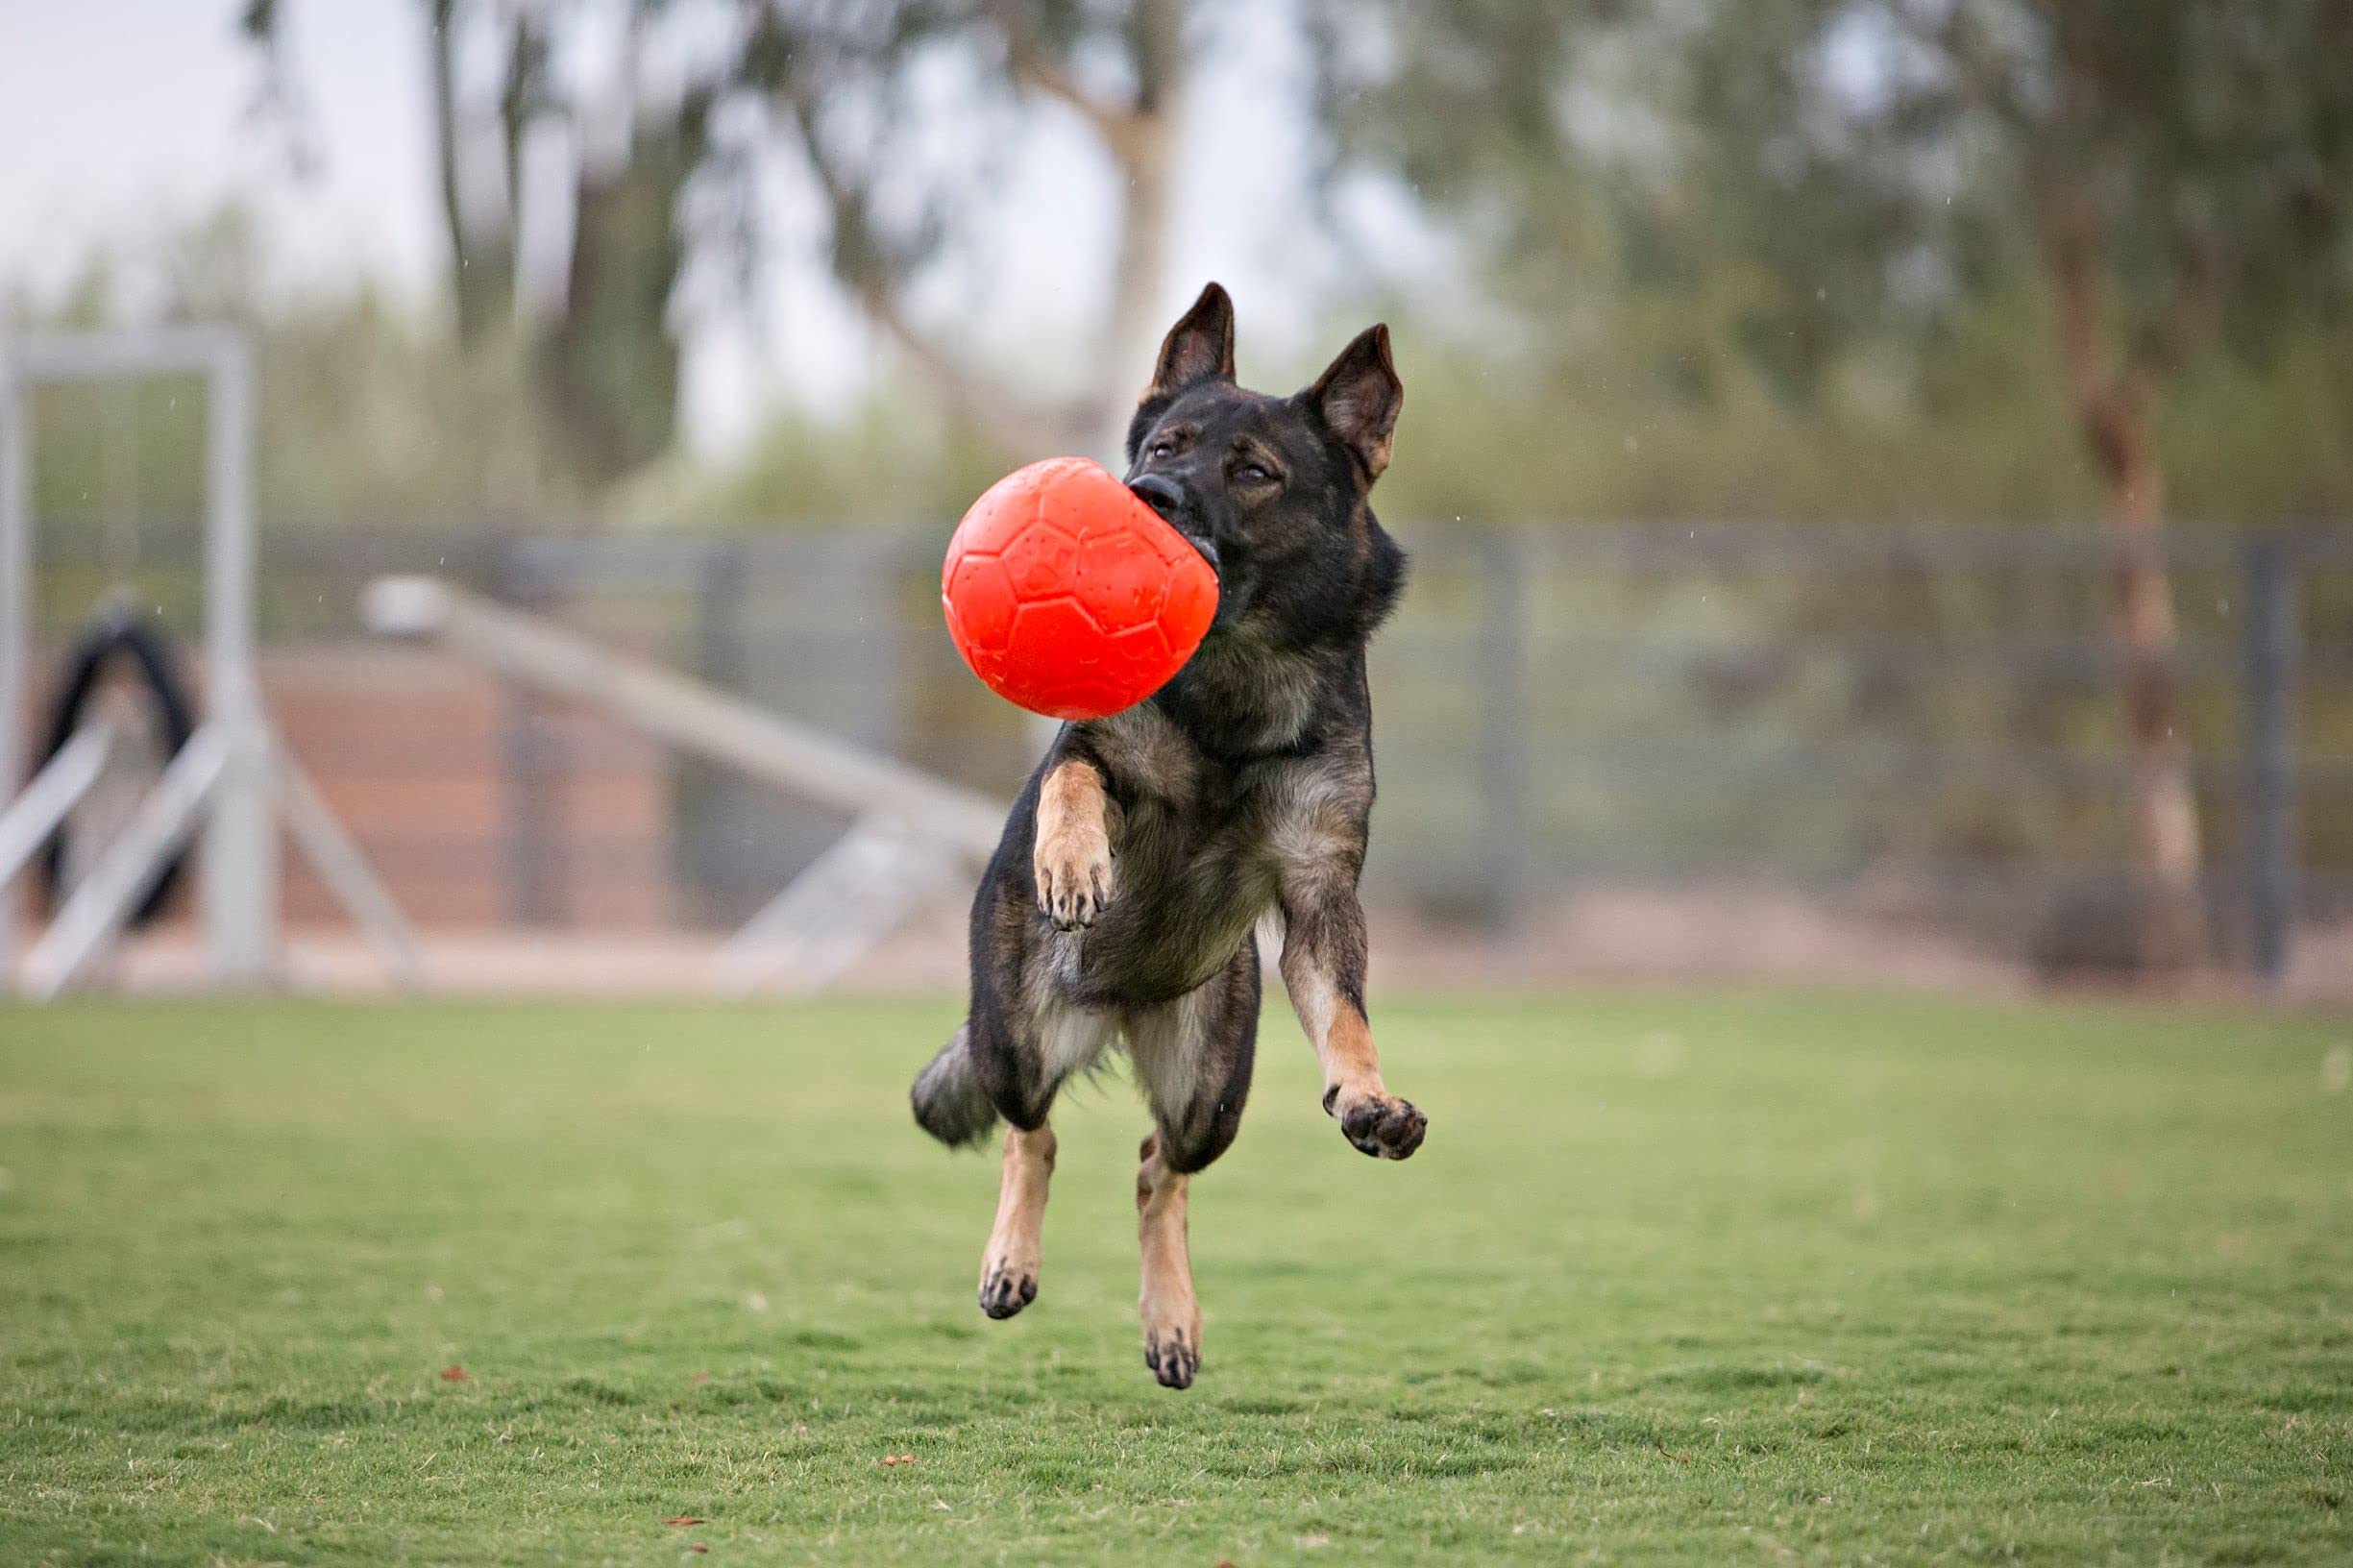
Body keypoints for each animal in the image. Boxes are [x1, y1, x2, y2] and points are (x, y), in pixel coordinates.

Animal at [903, 281, 1411, 1384]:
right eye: (1167, 445)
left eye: (1252, 472)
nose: (1145, 494)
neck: (1234, 687)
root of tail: (1116, 1006)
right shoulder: (1093, 749)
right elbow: (1073, 778)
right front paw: (1073, 863)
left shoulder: (1319, 895)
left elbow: (1346, 1015)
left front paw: (1364, 1097)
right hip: (1013, 1037)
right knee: (1032, 1134)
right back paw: (1010, 1259)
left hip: (1209, 1092)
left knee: (1155, 1168)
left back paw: (1170, 1320)